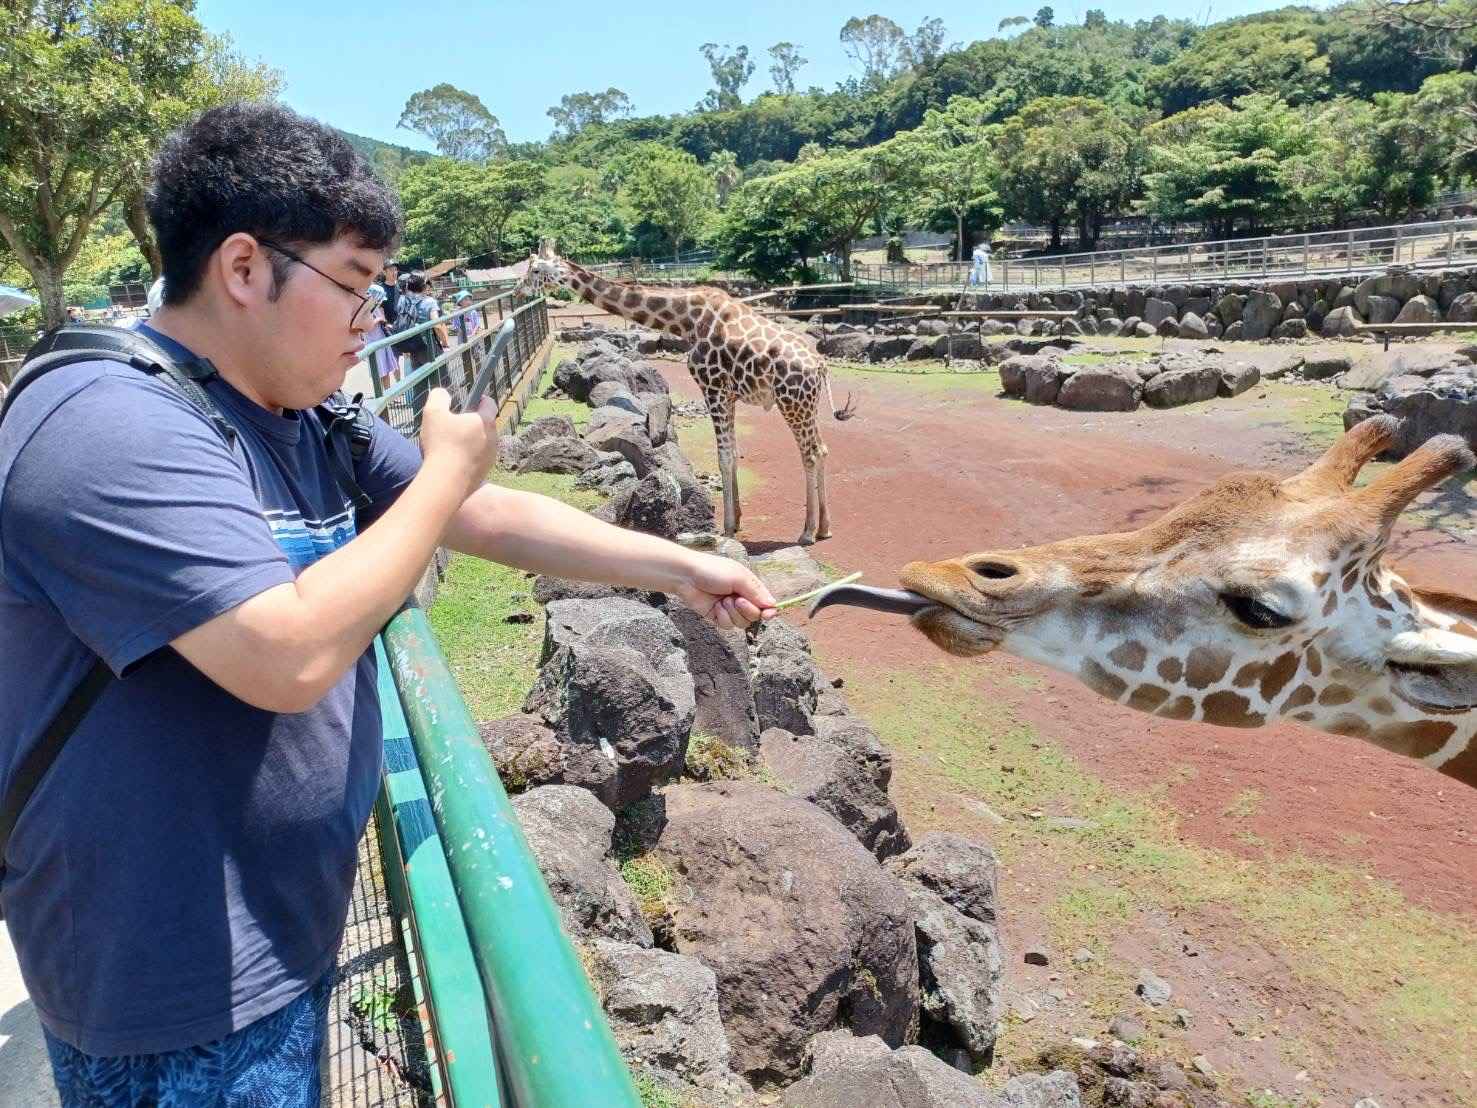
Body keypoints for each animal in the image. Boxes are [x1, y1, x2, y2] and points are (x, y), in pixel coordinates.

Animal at [522, 242, 856, 546]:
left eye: (535, 270)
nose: (520, 291)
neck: (684, 320)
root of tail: (820, 365)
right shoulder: (729, 394)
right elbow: (734, 452)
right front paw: (737, 520)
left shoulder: (713, 387)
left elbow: (724, 456)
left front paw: (727, 527)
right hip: (806, 404)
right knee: (821, 449)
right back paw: (824, 528)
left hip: (791, 401)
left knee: (810, 453)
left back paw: (807, 532)